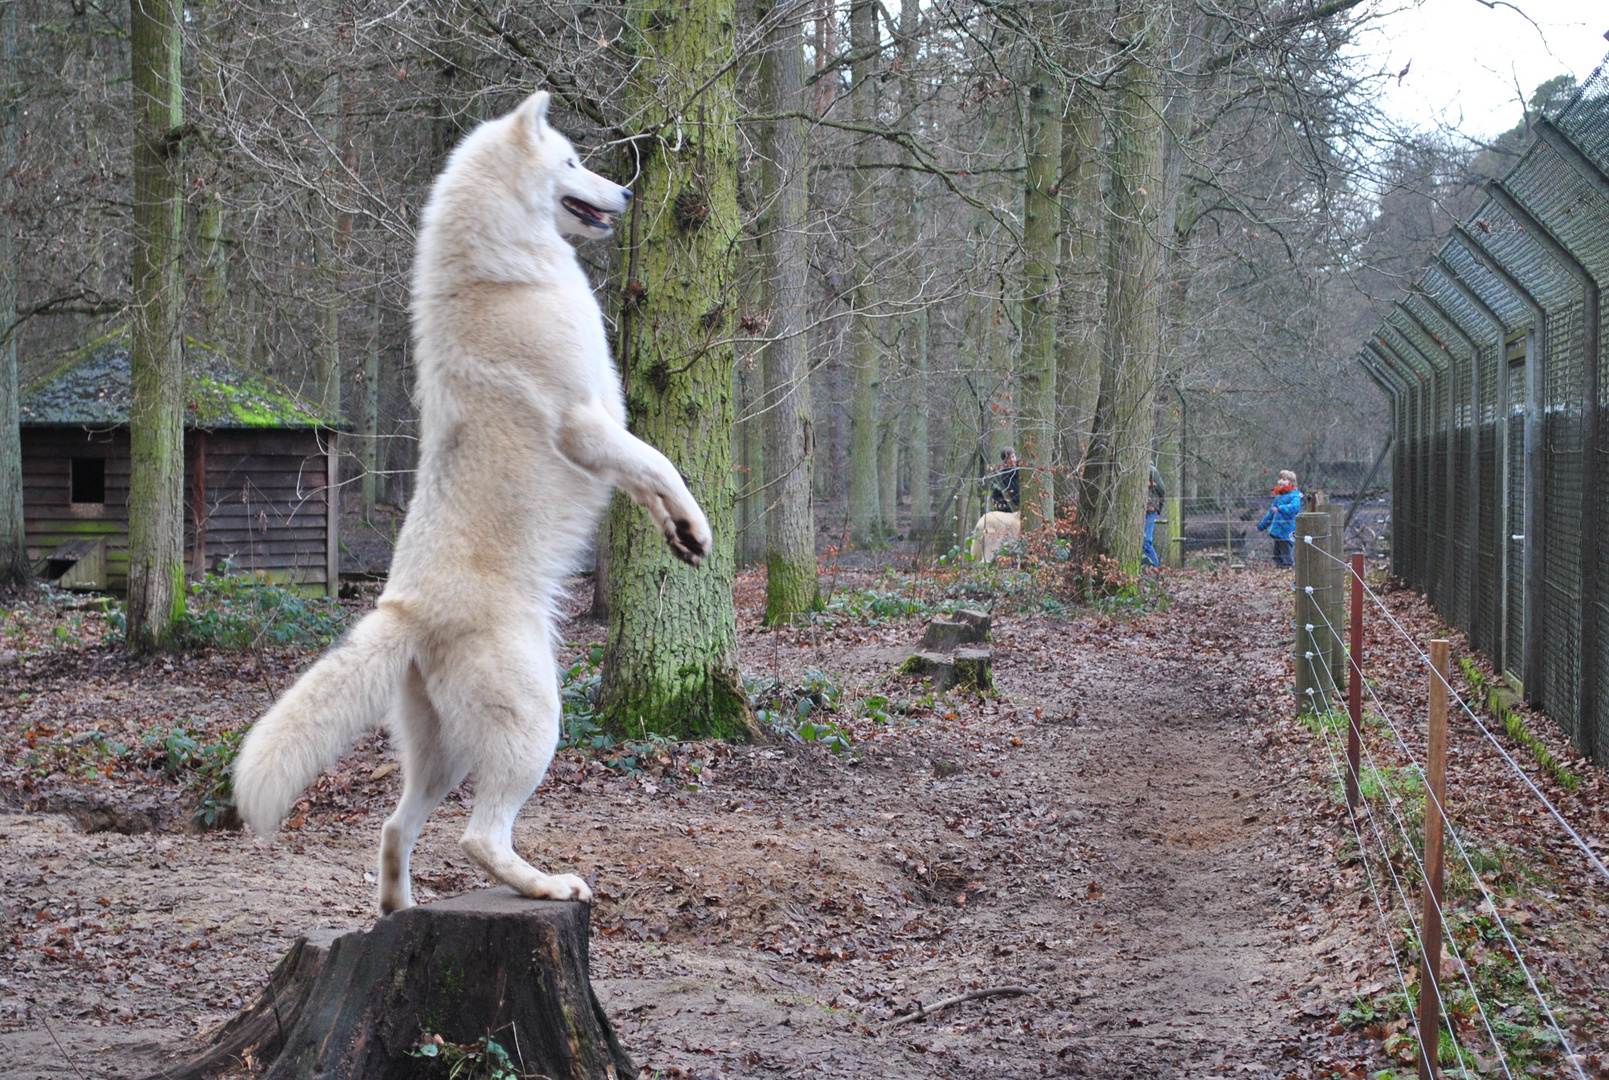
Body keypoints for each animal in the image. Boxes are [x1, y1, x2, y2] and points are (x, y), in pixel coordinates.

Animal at [230, 92, 714, 914]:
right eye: (574, 161)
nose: (627, 194)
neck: (505, 274)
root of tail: (403, 609)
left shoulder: (608, 437)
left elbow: (648, 485)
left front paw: (677, 536)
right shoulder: (590, 428)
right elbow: (663, 465)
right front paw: (698, 527)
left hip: (444, 758)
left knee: (395, 828)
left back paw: (399, 912)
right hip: (536, 725)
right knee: (476, 837)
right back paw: (548, 886)